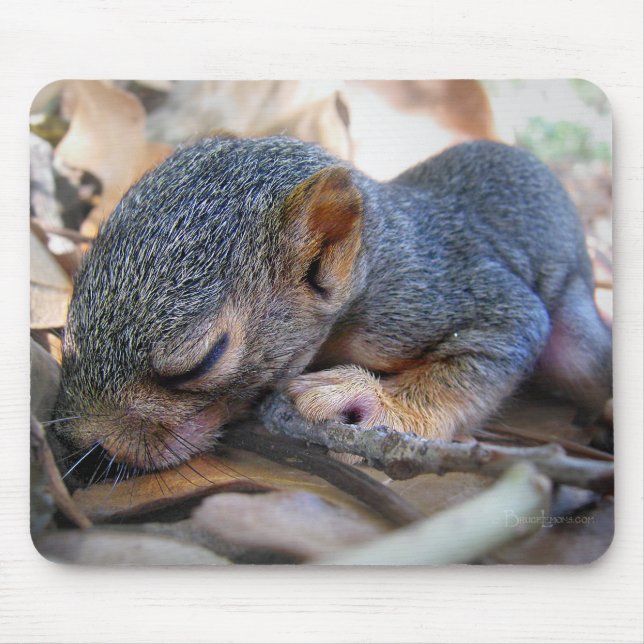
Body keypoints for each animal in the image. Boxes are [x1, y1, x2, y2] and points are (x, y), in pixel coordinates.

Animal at [55, 135, 612, 473]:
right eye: (67, 332)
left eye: (202, 361)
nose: (86, 441)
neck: (372, 262)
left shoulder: (427, 297)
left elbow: (499, 340)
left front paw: (373, 402)